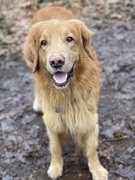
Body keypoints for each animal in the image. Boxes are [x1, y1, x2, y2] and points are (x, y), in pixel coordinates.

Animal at [23, 5, 107, 180]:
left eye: (70, 39)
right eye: (43, 42)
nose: (56, 61)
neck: (68, 91)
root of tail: (48, 6)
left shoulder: (88, 118)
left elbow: (91, 150)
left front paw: (97, 170)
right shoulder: (52, 120)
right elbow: (55, 147)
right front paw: (55, 167)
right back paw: (37, 103)